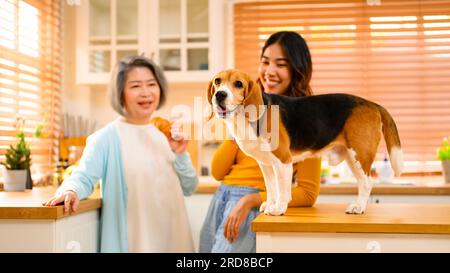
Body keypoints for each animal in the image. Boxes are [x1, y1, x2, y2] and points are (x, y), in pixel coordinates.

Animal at [208, 69, 404, 215]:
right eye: (217, 81)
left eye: (238, 84)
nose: (219, 95)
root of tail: (372, 104)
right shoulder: (266, 164)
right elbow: (271, 188)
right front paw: (270, 204)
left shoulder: (283, 161)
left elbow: (283, 190)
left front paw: (278, 208)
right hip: (351, 156)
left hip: (359, 155)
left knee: (367, 183)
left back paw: (359, 207)